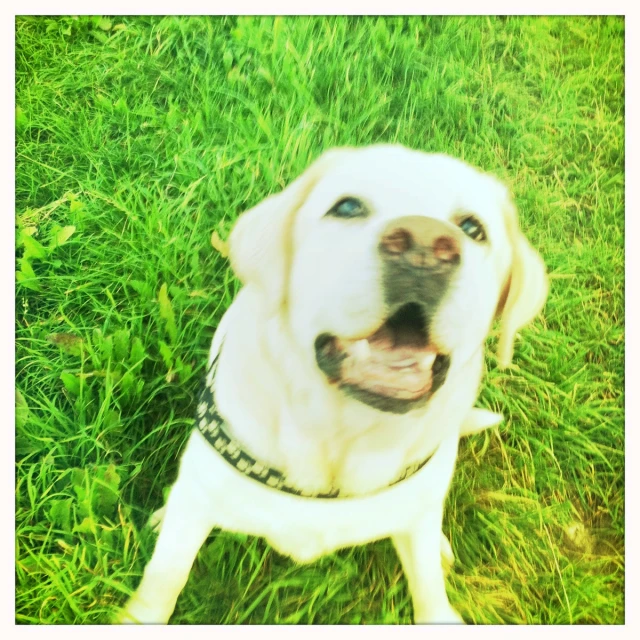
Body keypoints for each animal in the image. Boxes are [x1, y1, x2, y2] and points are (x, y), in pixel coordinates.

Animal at [121, 145, 552, 624]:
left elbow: (430, 592)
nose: (423, 247)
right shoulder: (196, 507)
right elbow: (163, 582)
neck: (343, 440)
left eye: (474, 229)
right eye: (346, 207)